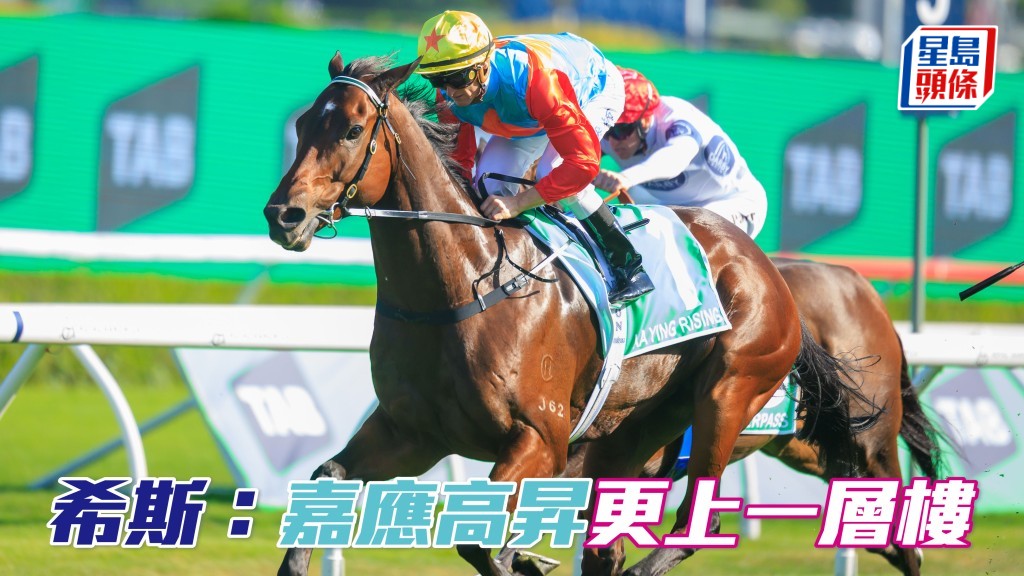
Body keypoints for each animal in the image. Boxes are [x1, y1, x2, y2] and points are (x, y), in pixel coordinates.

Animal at [263, 53, 877, 576]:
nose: (282, 215)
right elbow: (326, 478)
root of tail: (765, 265)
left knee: (695, 520)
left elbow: (477, 541)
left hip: (730, 391)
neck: (461, 287)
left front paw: (521, 560)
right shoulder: (412, 434)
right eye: (302, 125)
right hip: (631, 437)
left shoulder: (539, 439)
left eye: (350, 129)